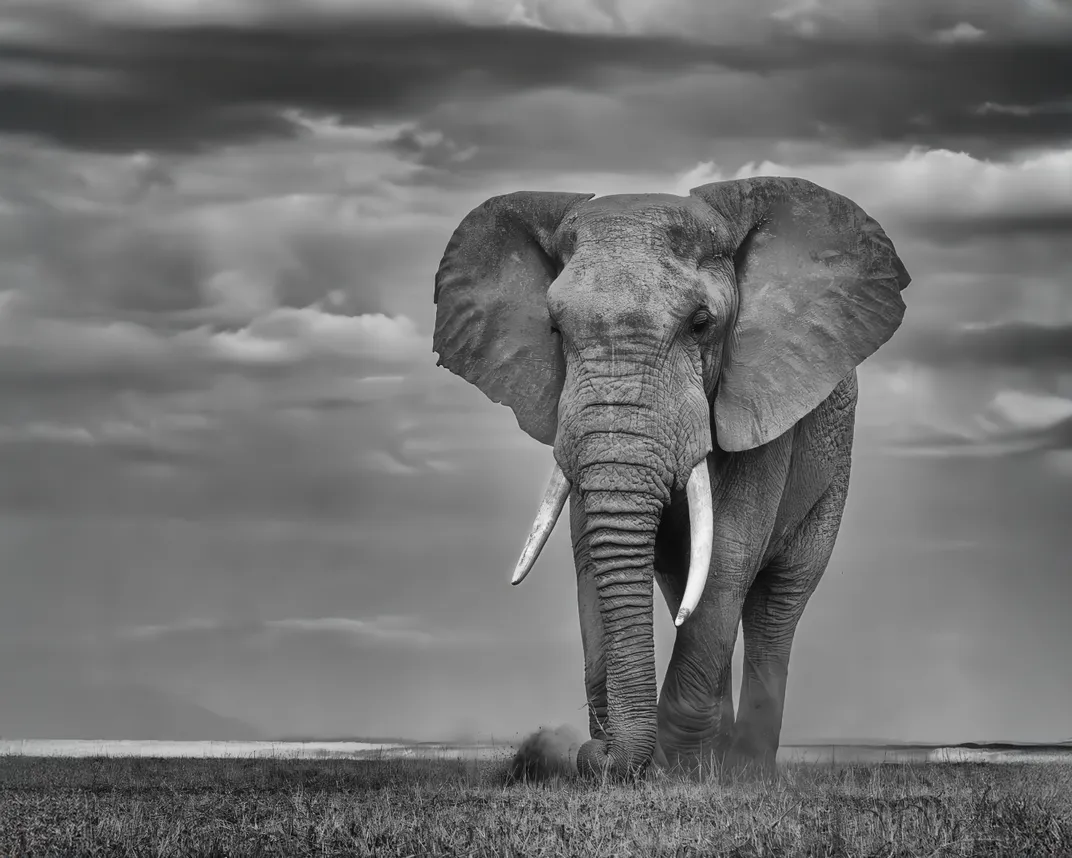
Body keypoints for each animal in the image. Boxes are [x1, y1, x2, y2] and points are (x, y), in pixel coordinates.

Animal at [431, 177, 911, 780]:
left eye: (701, 324)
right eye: (554, 329)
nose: (589, 752)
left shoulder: (758, 404)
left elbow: (728, 551)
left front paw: (682, 768)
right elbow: (591, 554)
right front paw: (650, 761)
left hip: (833, 470)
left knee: (777, 600)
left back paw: (745, 770)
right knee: (685, 582)